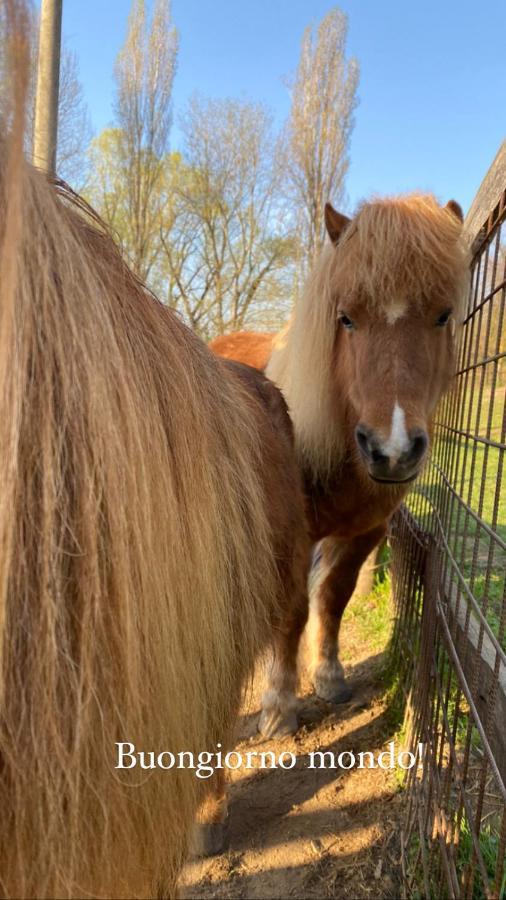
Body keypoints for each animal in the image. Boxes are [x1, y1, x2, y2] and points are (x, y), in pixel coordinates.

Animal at [211, 193, 470, 728]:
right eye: (346, 317)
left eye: (442, 315)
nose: (392, 449)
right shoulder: (294, 537)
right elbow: (291, 610)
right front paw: (279, 703)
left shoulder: (363, 533)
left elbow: (333, 597)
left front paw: (328, 677)